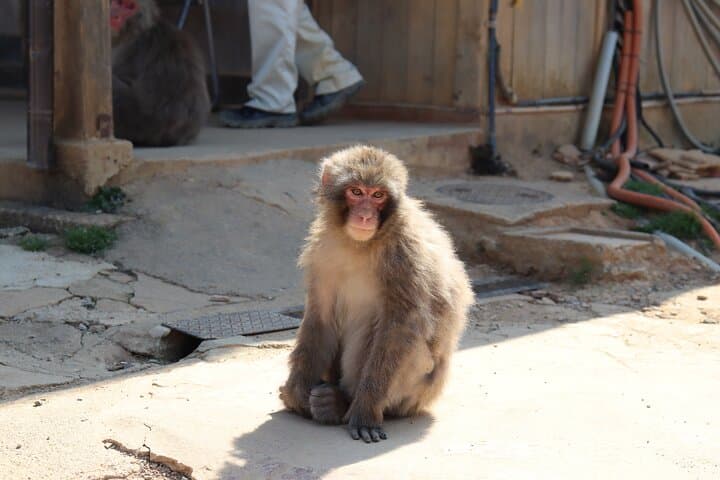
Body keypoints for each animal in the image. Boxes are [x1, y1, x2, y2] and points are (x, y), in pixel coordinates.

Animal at [279, 145, 474, 443]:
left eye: (378, 195)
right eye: (356, 192)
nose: (364, 216)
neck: (361, 244)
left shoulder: (405, 254)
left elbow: (401, 327)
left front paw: (364, 411)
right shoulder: (322, 251)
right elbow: (320, 317)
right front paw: (296, 392)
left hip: (417, 388)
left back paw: (339, 403)